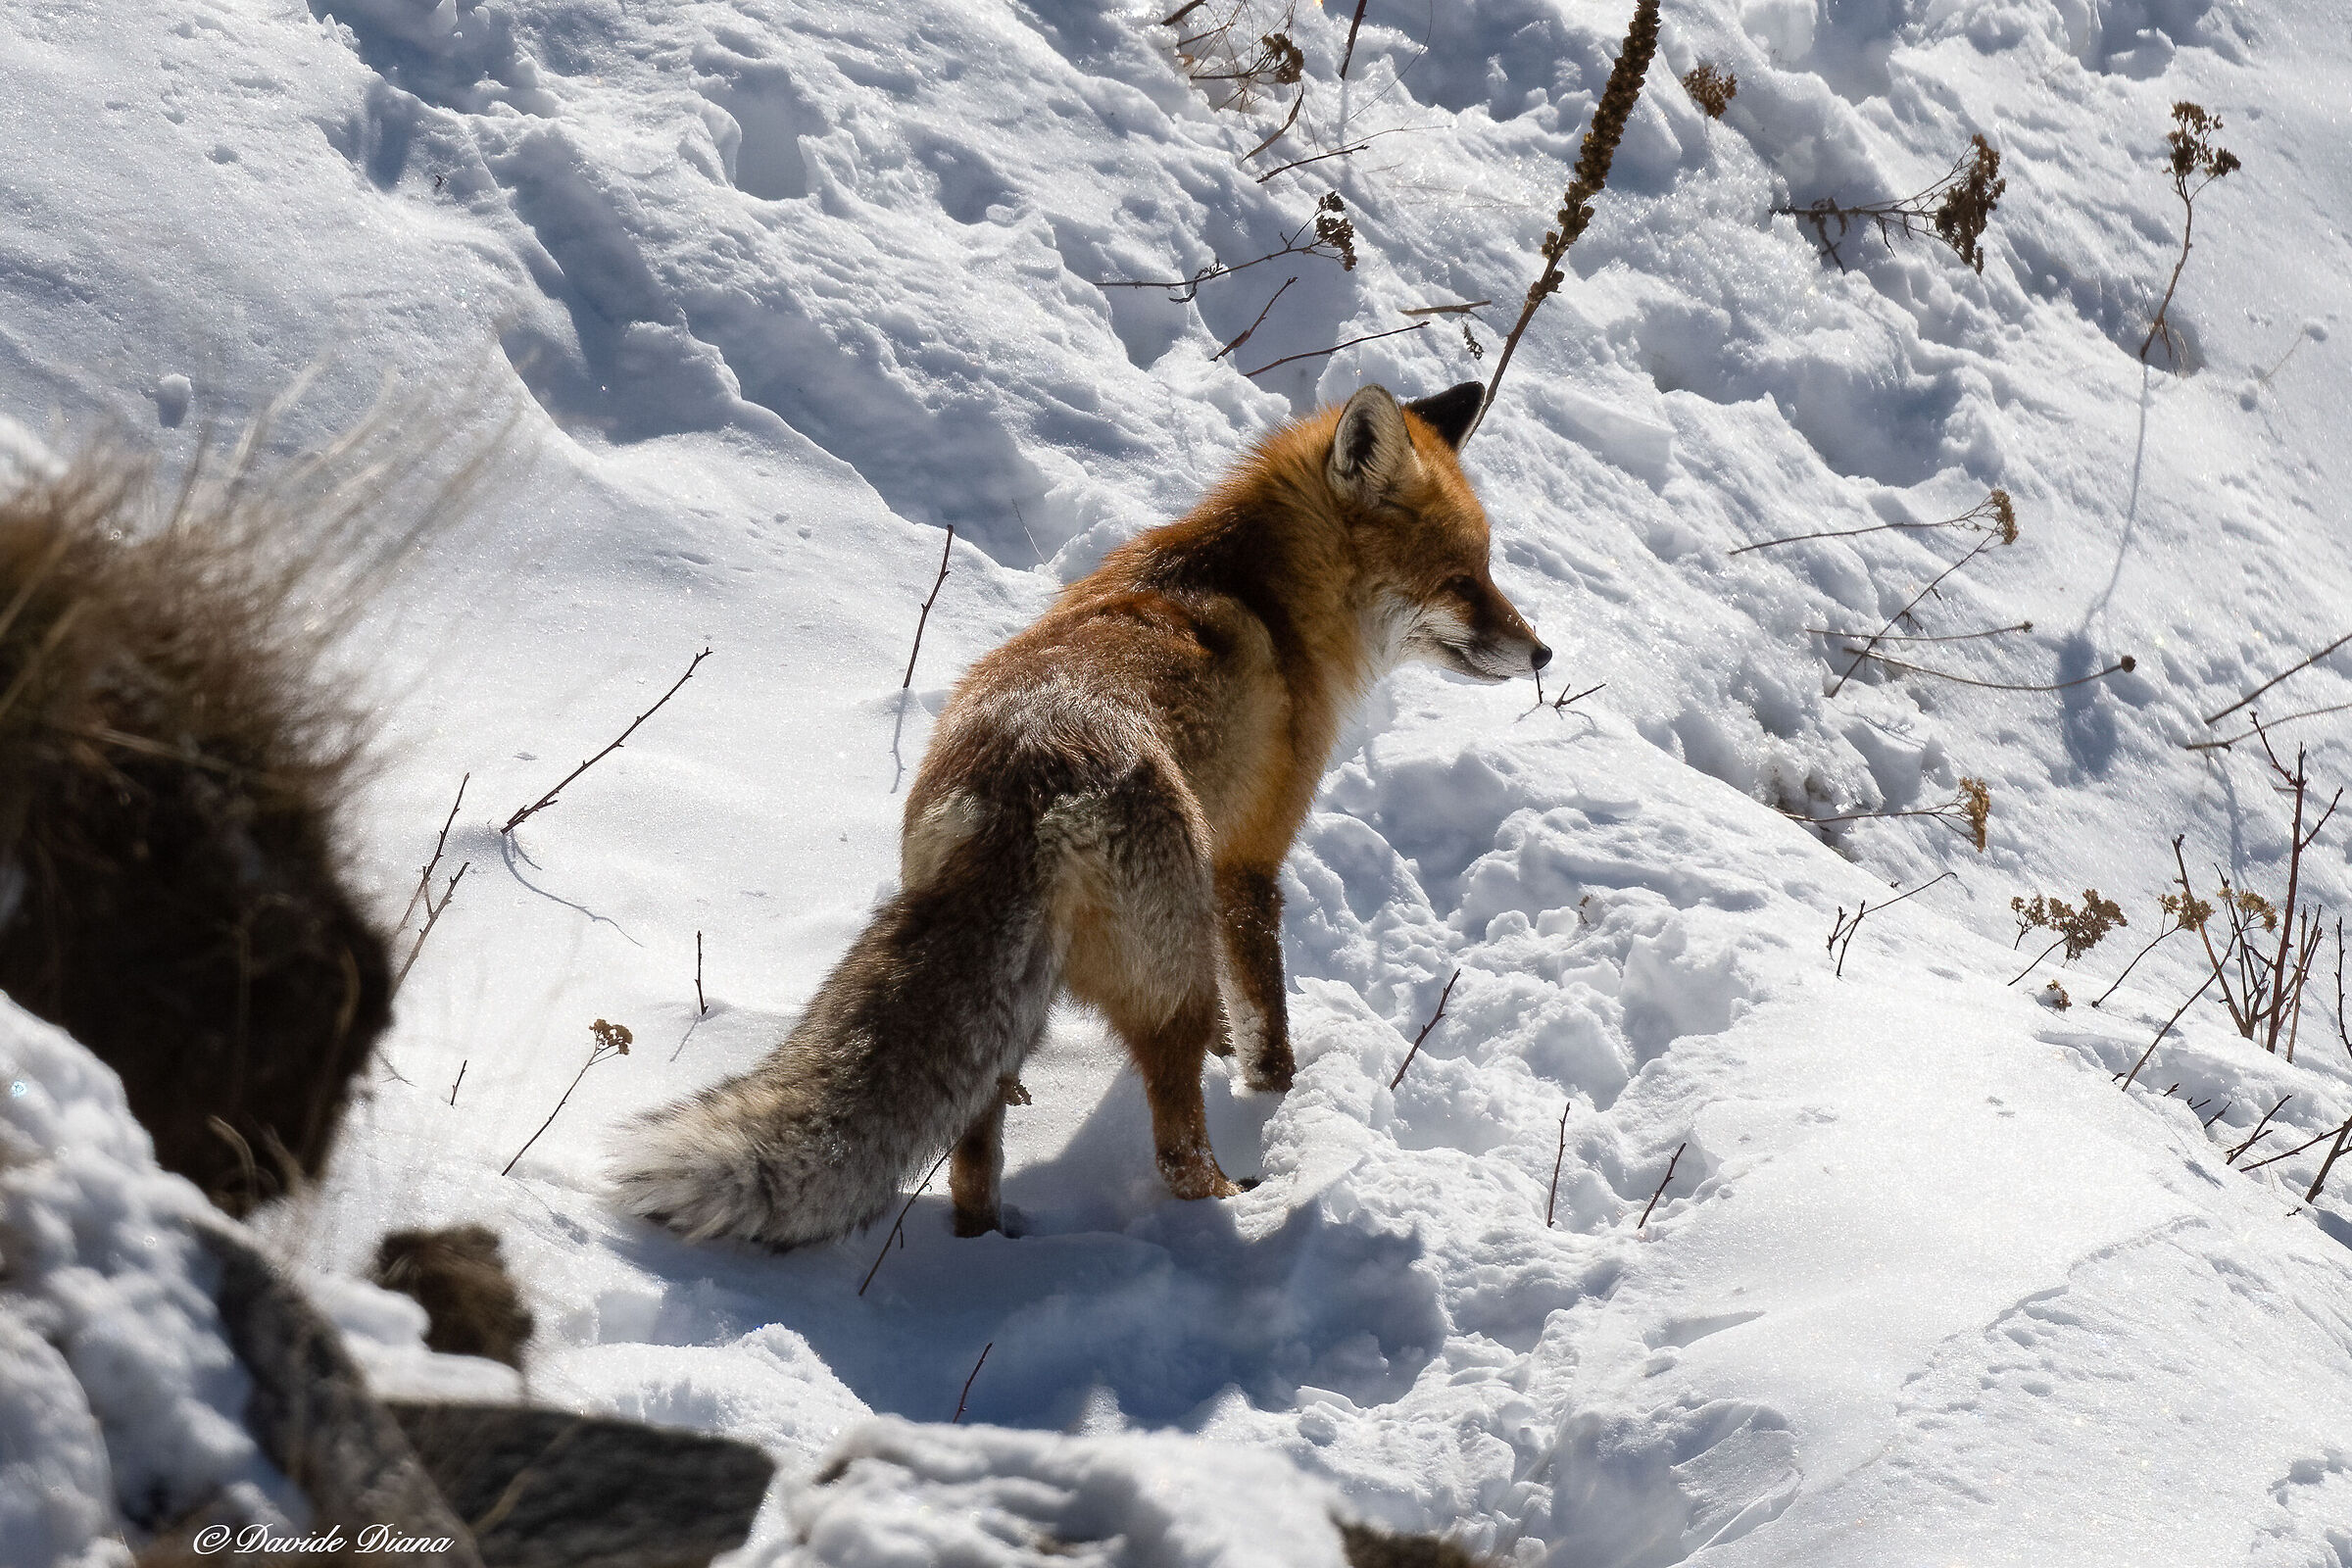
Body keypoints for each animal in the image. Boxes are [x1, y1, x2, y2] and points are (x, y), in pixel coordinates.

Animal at [612, 381, 1548, 1247]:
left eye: (1488, 572)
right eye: (1463, 582)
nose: (1541, 653)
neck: (1267, 598)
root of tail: (1025, 775)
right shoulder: (1247, 865)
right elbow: (1265, 1025)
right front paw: (1275, 1091)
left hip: (1018, 1013)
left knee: (972, 1143)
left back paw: (986, 1248)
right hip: (1166, 984)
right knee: (1175, 1152)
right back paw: (1231, 1208)